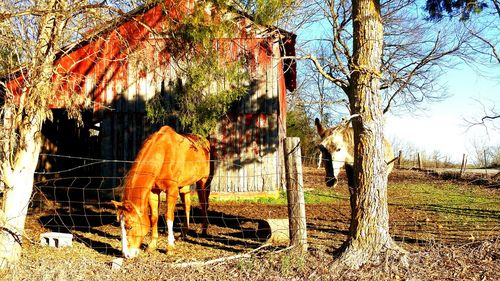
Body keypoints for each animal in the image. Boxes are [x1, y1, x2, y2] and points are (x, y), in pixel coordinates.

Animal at [111, 126, 211, 258]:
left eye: (130, 226)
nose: (126, 255)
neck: (163, 153)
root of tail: (205, 141)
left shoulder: (172, 189)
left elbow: (169, 216)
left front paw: (170, 248)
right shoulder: (153, 191)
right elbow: (154, 217)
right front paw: (152, 245)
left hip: (203, 181)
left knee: (203, 204)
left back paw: (204, 230)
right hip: (184, 185)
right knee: (187, 206)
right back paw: (183, 234)